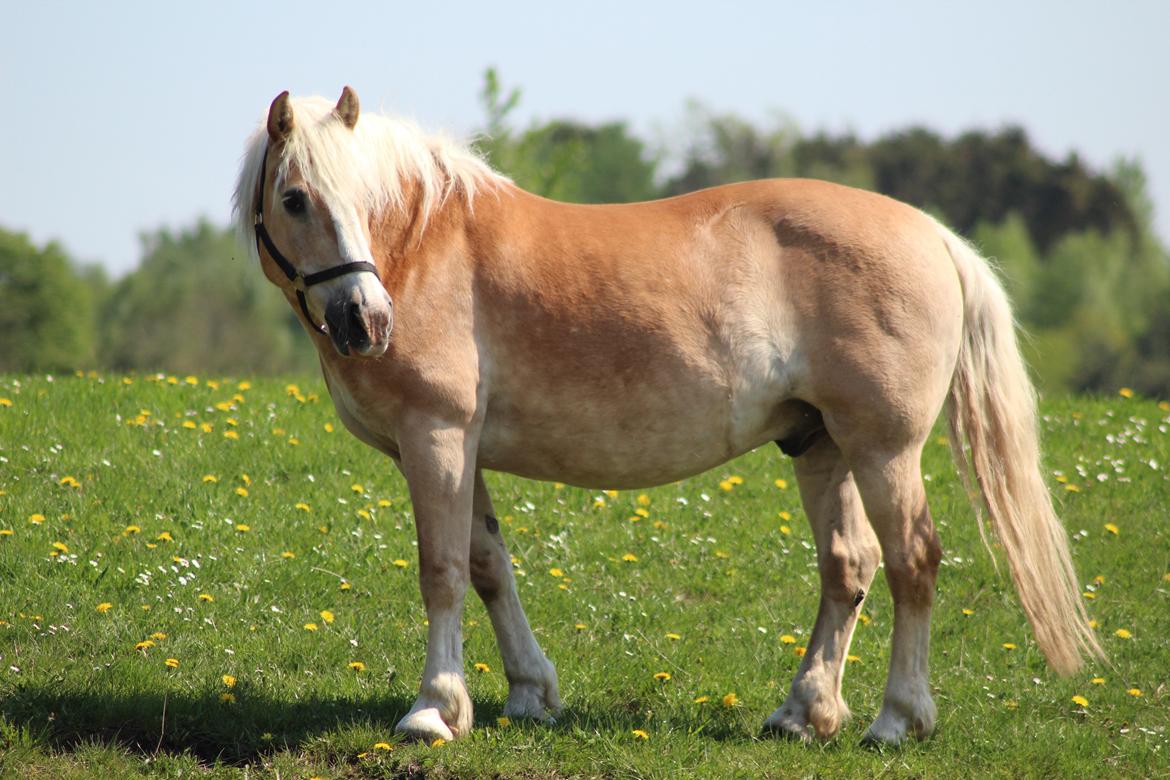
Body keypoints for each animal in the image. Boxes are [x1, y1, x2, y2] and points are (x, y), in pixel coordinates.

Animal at [232, 85, 1099, 743]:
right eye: (295, 198)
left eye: (364, 199)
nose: (365, 321)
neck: (425, 245)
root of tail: (937, 236)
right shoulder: (462, 448)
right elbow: (487, 567)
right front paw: (529, 694)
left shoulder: (435, 437)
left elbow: (441, 571)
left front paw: (434, 711)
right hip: (822, 445)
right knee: (847, 568)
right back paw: (803, 713)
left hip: (884, 449)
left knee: (913, 562)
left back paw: (895, 721)